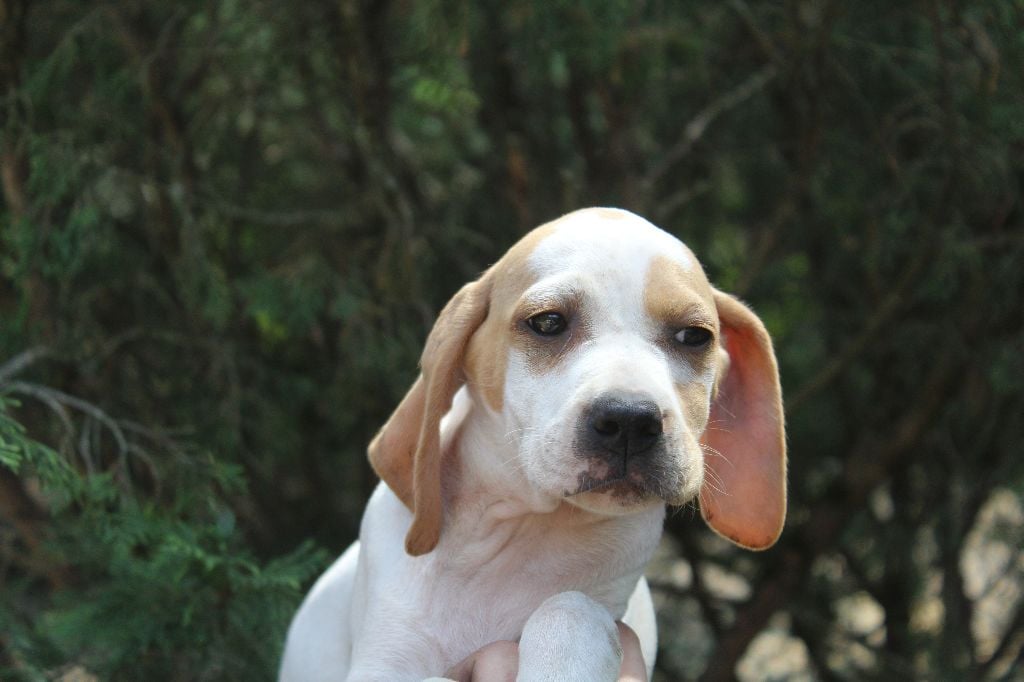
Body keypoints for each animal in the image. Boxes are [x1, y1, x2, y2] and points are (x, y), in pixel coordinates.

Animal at [279, 208, 785, 681]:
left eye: (694, 336)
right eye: (548, 323)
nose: (629, 420)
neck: (526, 529)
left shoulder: (598, 607)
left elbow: (569, 607)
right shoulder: (382, 664)